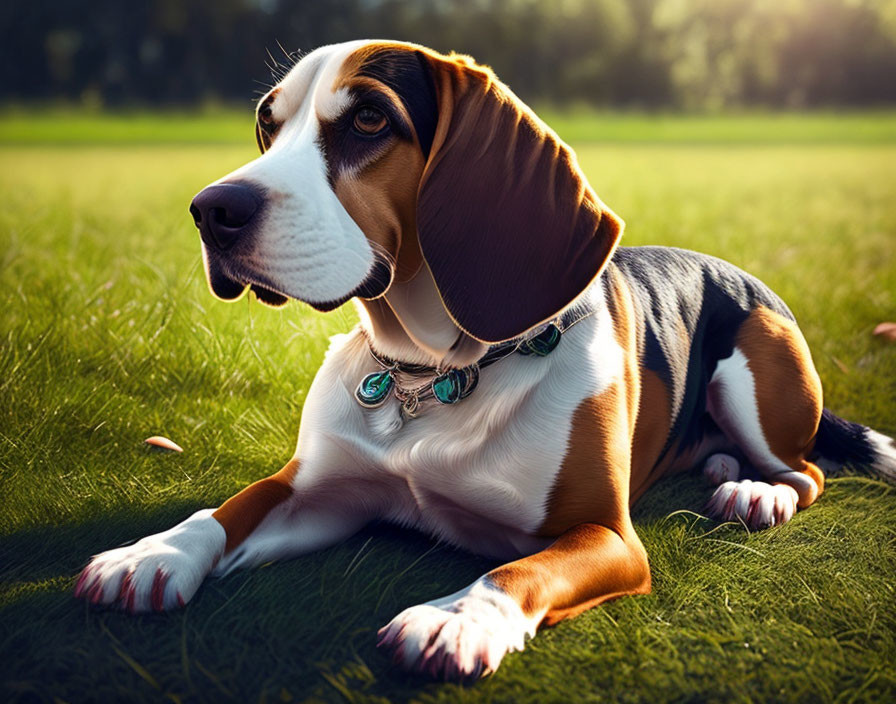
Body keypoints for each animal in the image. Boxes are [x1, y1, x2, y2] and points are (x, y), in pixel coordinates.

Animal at [77, 41, 896, 680]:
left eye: (369, 119)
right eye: (267, 126)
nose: (210, 210)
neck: (427, 374)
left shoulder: (607, 537)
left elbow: (514, 571)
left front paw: (457, 618)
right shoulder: (316, 489)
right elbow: (229, 507)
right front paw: (153, 552)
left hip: (751, 366)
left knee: (807, 470)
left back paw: (756, 492)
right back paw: (723, 465)